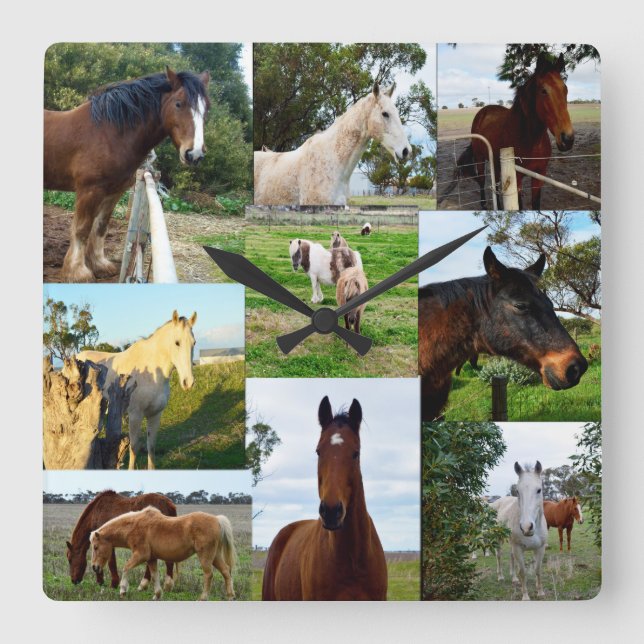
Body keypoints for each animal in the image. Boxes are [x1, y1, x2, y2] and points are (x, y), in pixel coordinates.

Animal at [44, 67, 210, 282]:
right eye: (178, 103)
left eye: (207, 109)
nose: (194, 154)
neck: (109, 133)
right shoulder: (90, 190)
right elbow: (82, 229)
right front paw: (78, 272)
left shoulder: (114, 191)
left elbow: (101, 226)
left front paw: (100, 265)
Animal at [76, 310, 197, 469]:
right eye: (177, 342)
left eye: (194, 343)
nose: (188, 382)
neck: (153, 373)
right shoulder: (135, 416)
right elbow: (134, 447)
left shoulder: (155, 415)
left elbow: (151, 446)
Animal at [90, 506, 236, 600]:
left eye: (96, 547)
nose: (94, 567)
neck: (134, 526)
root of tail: (217, 520)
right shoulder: (151, 559)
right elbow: (155, 576)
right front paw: (157, 595)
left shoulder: (141, 555)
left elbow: (126, 567)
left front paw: (123, 590)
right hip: (215, 556)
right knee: (226, 571)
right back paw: (230, 596)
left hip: (205, 556)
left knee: (209, 575)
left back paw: (203, 598)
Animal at [444, 53, 573, 210]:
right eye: (543, 91)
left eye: (565, 89)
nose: (567, 139)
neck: (531, 141)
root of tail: (483, 111)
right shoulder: (517, 178)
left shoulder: (539, 175)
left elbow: (535, 204)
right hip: (480, 157)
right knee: (482, 180)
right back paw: (484, 204)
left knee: (496, 184)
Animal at [492, 462, 548, 601]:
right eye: (518, 491)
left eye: (539, 490)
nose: (527, 527)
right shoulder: (518, 548)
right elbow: (522, 572)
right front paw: (525, 596)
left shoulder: (540, 548)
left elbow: (538, 569)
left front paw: (540, 592)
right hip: (499, 539)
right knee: (499, 555)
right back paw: (500, 576)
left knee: (511, 556)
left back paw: (514, 578)